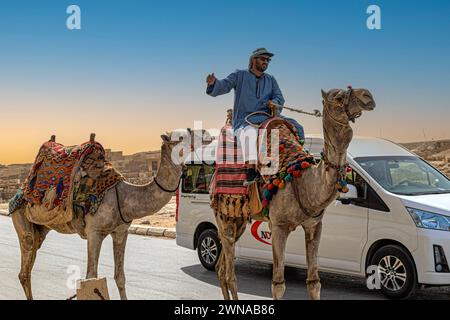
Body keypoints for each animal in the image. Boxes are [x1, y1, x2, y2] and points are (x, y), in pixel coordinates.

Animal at [11, 131, 185, 298]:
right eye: (182, 139)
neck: (124, 196)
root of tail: (20, 191)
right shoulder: (94, 232)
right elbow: (91, 276)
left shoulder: (121, 232)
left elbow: (120, 277)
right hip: (21, 215)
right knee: (25, 264)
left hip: (41, 228)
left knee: (30, 261)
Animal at [214, 87, 376, 300]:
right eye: (339, 97)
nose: (368, 96)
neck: (302, 180)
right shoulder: (278, 226)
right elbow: (278, 284)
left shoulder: (314, 225)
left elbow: (314, 282)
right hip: (223, 214)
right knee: (230, 272)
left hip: (239, 219)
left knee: (221, 268)